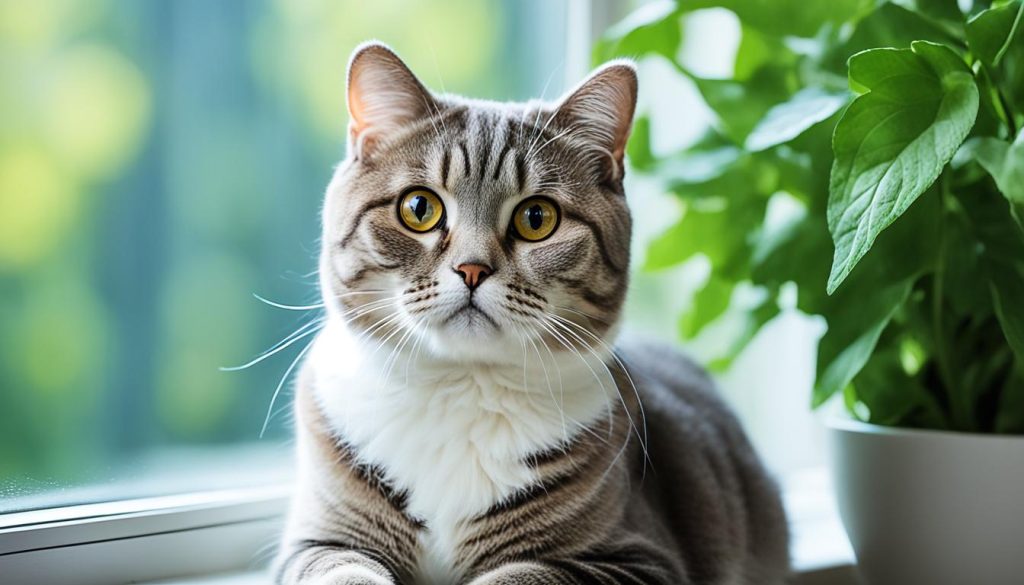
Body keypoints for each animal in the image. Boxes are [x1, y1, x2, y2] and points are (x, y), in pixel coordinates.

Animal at [268, 42, 786, 585]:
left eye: (537, 218)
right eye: (419, 208)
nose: (472, 268)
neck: (461, 390)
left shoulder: (641, 559)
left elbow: (519, 574)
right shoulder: (317, 543)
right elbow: (344, 571)